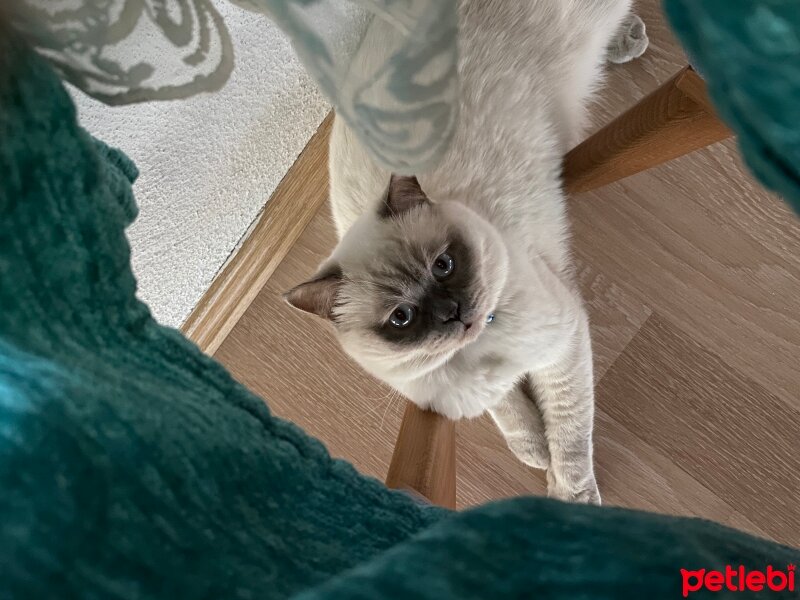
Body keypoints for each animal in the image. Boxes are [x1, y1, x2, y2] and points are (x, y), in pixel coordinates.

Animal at [284, 0, 648, 504]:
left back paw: (632, 37)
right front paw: (535, 454)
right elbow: (514, 417)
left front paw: (571, 496)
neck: (478, 350)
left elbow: (570, 437)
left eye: (444, 265)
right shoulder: (478, 394)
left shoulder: (564, 345)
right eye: (401, 318)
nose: (453, 312)